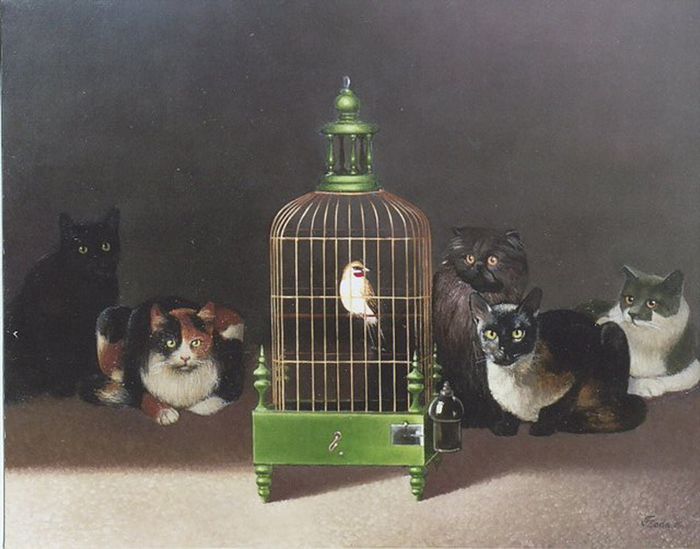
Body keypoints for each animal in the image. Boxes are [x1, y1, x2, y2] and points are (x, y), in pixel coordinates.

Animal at [5, 208, 120, 402]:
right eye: (82, 249)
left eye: (105, 246)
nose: (96, 258)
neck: (88, 289)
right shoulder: (48, 327)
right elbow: (55, 359)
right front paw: (63, 388)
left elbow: (92, 355)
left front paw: (94, 381)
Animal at [81, 296, 245, 425]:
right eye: (170, 342)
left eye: (196, 342)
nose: (185, 357)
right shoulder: (132, 378)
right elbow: (142, 395)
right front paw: (164, 412)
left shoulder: (233, 379)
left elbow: (211, 402)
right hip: (108, 316)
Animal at [433, 227, 528, 430]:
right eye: (469, 258)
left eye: (493, 260)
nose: (477, 265)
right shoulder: (457, 363)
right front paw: (468, 421)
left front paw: (504, 426)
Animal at [470, 288, 646, 436]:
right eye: (491, 334)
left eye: (517, 334)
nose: (502, 351)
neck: (513, 377)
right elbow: (507, 413)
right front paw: (506, 428)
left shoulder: (579, 371)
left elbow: (556, 407)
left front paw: (542, 429)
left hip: (612, 331)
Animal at [579, 266, 699, 398]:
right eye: (630, 299)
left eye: (651, 303)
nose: (632, 313)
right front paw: (647, 385)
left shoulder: (692, 363)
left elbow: (687, 377)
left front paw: (655, 384)